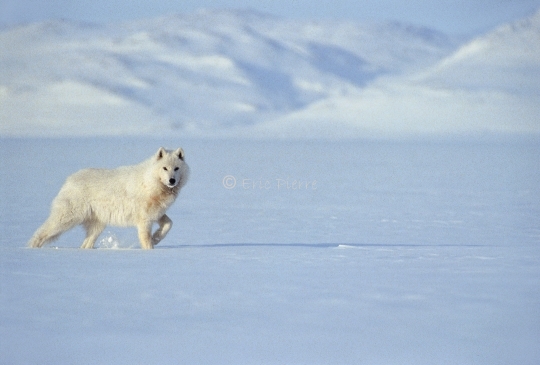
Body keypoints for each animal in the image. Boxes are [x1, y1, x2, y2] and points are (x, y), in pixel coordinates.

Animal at [29, 146, 191, 249]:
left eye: (176, 168)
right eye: (165, 168)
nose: (172, 180)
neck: (150, 182)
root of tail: (69, 180)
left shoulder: (156, 213)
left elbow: (169, 224)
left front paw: (157, 238)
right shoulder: (144, 220)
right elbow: (146, 240)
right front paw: (151, 248)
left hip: (97, 226)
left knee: (85, 244)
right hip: (67, 219)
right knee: (42, 232)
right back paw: (30, 248)